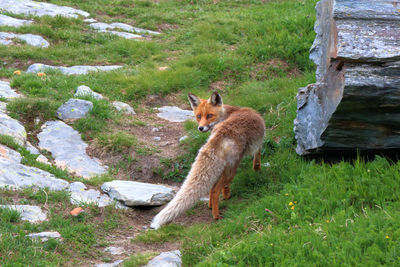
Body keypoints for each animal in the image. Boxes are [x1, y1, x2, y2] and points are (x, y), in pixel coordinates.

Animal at [150, 92, 266, 230]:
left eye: (210, 115)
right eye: (199, 116)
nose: (200, 128)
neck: (229, 113)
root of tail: (222, 134)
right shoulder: (258, 144)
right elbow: (257, 158)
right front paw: (257, 170)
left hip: (221, 168)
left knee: (212, 188)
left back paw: (211, 206)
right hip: (231, 168)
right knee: (216, 190)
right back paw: (216, 216)